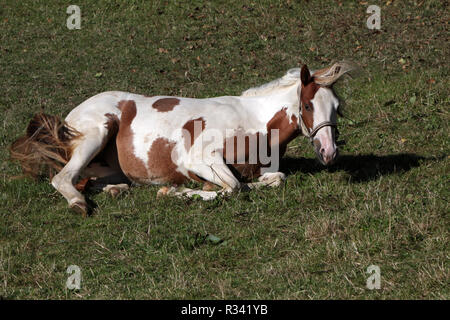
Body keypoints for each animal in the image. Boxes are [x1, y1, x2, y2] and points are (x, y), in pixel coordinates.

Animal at [10, 61, 356, 216]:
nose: (329, 153)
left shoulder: (266, 170)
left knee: (88, 180)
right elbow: (233, 187)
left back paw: (115, 190)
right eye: (308, 105)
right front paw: (176, 193)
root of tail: (71, 116)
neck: (254, 122)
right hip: (95, 135)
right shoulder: (199, 159)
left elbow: (270, 180)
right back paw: (79, 203)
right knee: (63, 179)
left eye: (337, 107)